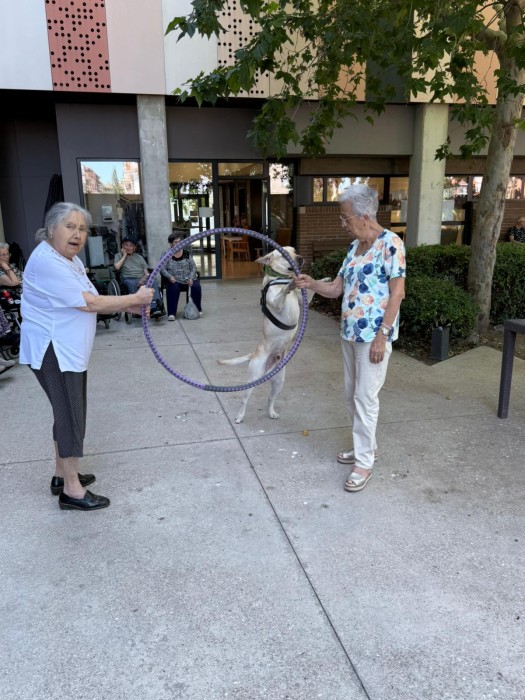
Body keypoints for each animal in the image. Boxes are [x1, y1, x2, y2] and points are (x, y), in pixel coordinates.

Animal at [218, 247, 304, 424]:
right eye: (284, 254)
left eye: (295, 251)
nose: (301, 258)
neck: (280, 278)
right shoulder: (277, 303)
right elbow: (283, 292)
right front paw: (290, 285)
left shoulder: (302, 299)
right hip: (252, 379)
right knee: (244, 400)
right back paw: (239, 416)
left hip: (279, 382)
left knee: (270, 399)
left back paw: (271, 412)